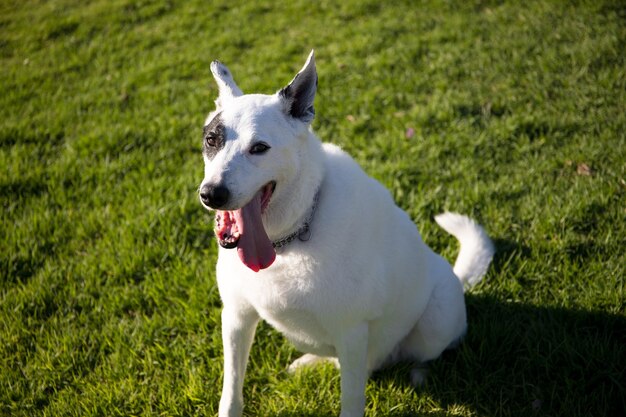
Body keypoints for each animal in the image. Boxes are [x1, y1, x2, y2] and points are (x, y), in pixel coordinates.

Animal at [199, 51, 492, 416]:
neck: (288, 241)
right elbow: (231, 392)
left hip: (434, 320)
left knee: (417, 355)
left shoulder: (351, 333)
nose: (211, 194)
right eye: (211, 140)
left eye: (259, 148)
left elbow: (351, 401)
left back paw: (419, 373)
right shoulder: (237, 318)